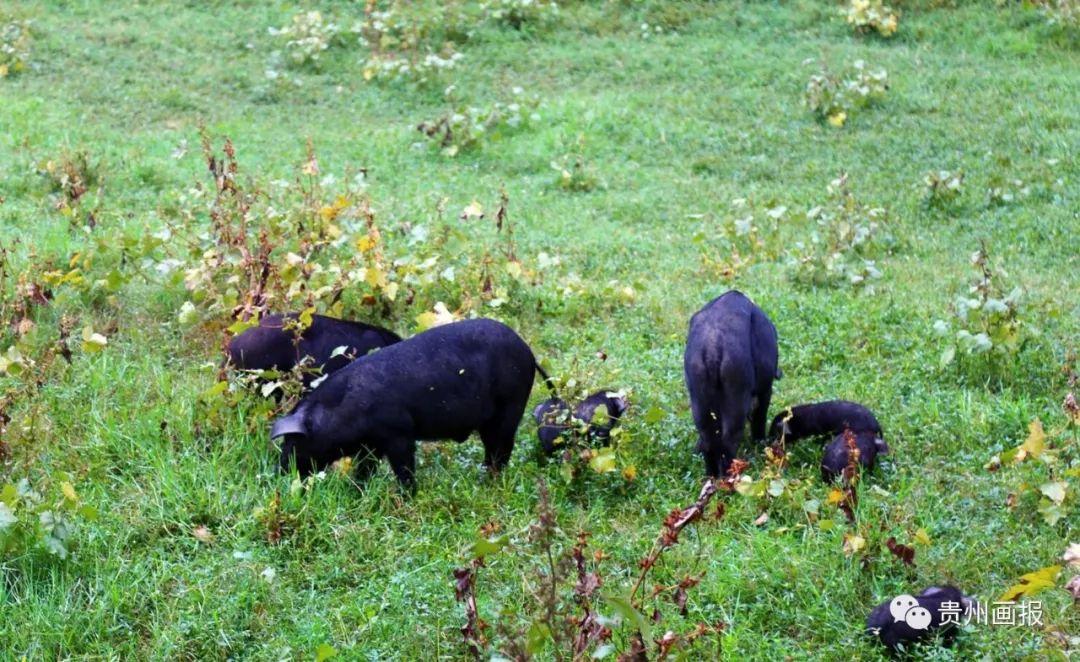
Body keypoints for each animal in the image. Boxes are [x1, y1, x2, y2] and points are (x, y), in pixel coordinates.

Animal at [270, 317, 557, 488]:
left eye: (293, 441)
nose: (281, 472)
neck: (343, 412)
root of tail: (528, 352)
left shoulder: (398, 433)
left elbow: (404, 468)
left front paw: (407, 496)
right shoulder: (371, 444)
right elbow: (365, 469)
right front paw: (357, 490)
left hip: (510, 407)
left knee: (502, 449)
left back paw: (489, 483)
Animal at [682, 289, 777, 475]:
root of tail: (712, 347)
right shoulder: (765, 389)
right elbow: (760, 418)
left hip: (699, 400)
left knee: (708, 440)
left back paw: (711, 475)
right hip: (736, 400)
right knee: (728, 441)